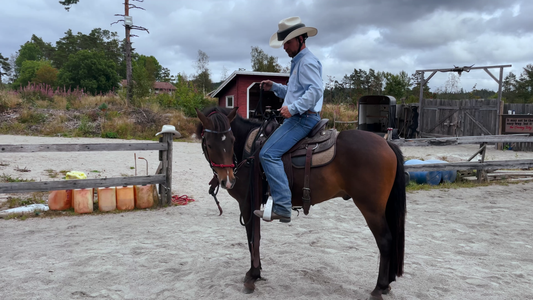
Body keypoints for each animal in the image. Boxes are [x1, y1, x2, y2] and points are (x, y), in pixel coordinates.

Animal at [196, 106, 408, 298]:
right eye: (210, 145)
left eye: (231, 140)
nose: (228, 180)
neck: (248, 153)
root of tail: (386, 144)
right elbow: (255, 238)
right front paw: (257, 272)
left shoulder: (248, 203)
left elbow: (253, 238)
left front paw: (253, 275)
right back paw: (387, 284)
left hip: (371, 209)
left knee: (385, 241)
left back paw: (379, 288)